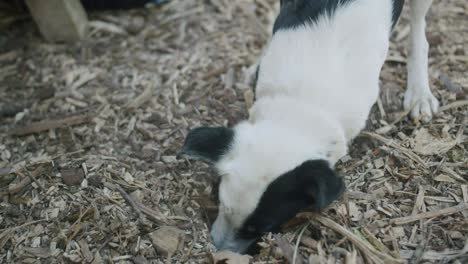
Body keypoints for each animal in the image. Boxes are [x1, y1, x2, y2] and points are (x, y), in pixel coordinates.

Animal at [180, 0, 438, 254]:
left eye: (261, 228)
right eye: (220, 203)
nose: (217, 249)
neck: (302, 103)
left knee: (419, 32)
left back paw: (419, 92)